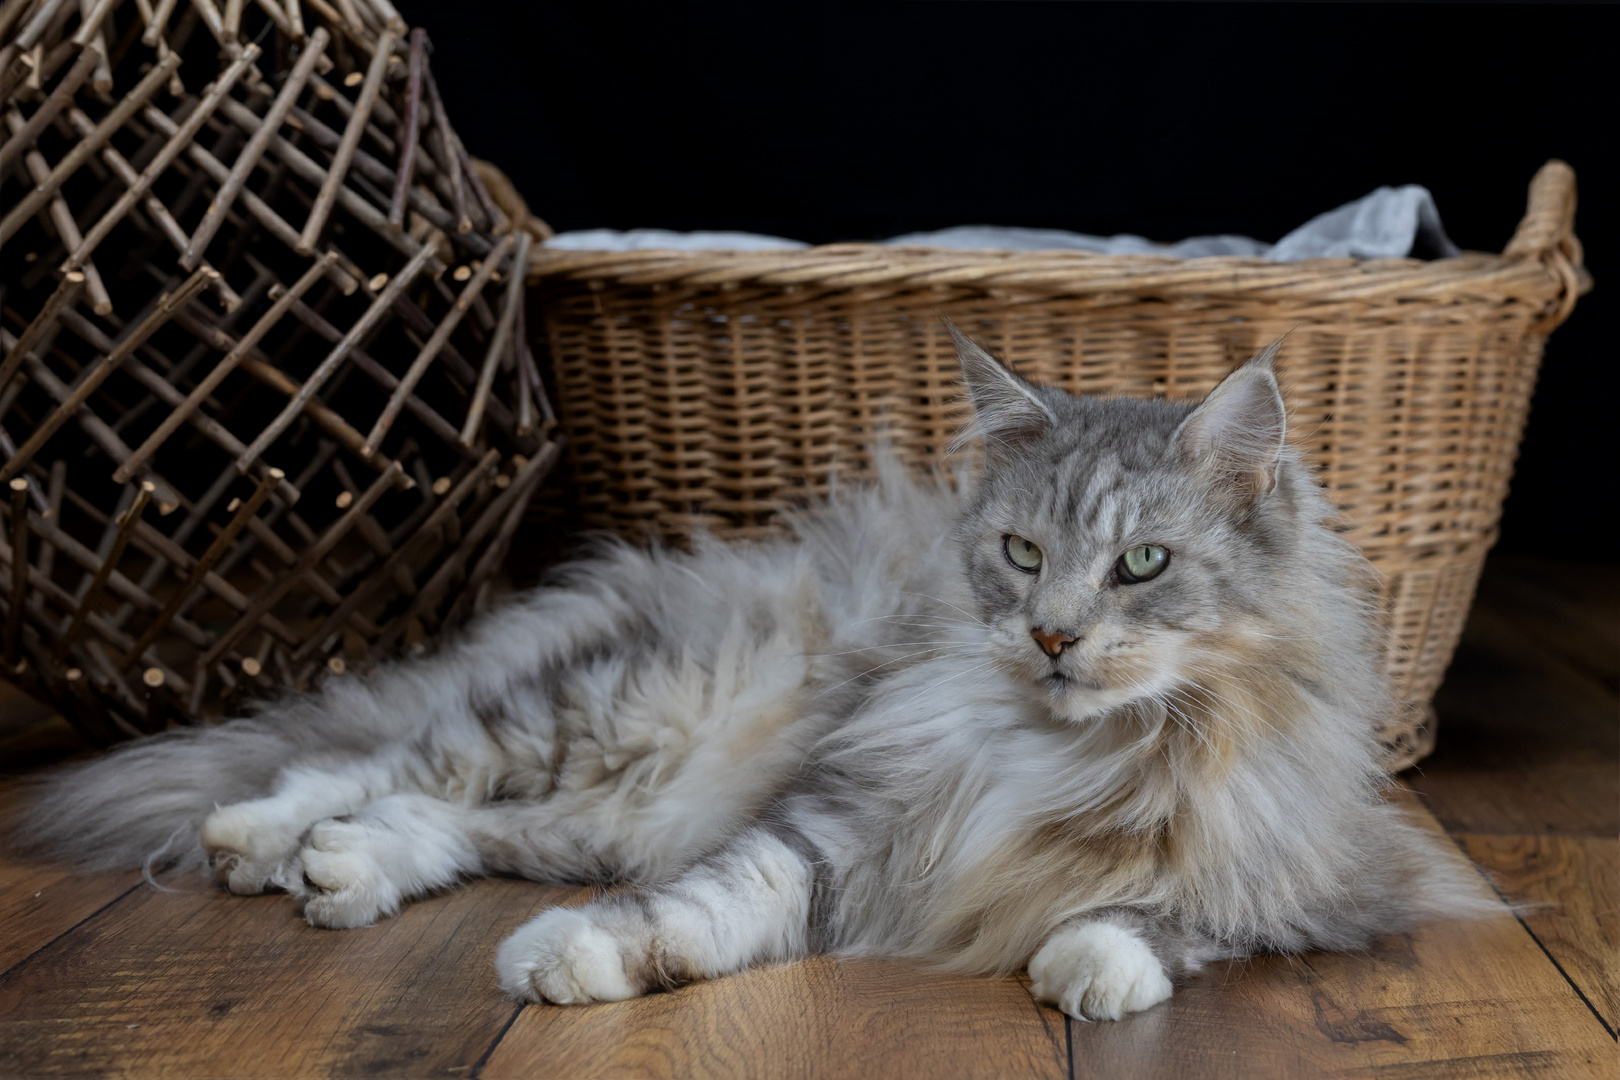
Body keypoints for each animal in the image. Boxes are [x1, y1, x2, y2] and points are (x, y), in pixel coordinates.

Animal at [12, 330, 1483, 1023]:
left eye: (1141, 566)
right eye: (1021, 554)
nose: (1053, 638)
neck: (1076, 745)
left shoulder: (1312, 883)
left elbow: (1163, 919)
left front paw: (1088, 965)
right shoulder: (835, 823)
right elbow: (706, 908)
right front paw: (566, 965)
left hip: (611, 796)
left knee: (435, 818)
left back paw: (341, 870)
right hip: (592, 718)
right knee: (362, 761)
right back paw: (260, 842)